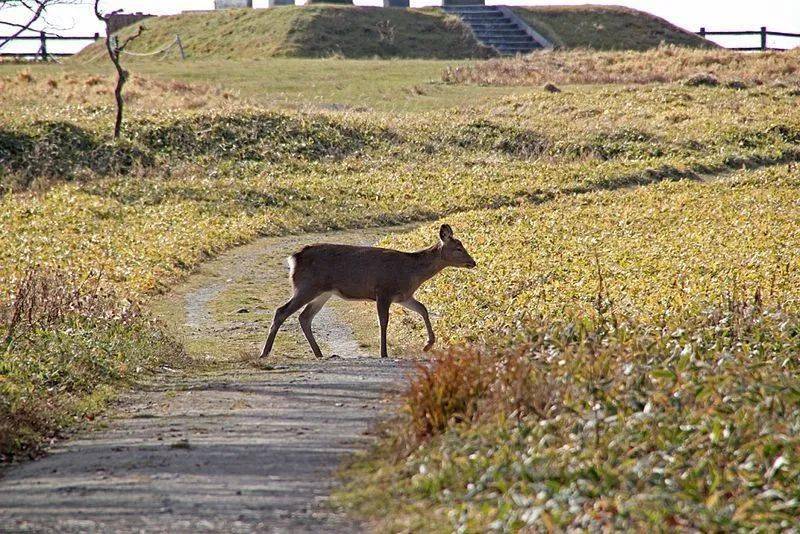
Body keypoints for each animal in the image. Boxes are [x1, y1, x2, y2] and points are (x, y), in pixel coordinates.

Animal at [260, 224, 476, 362]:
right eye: (458, 247)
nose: (473, 262)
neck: (411, 272)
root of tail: (293, 258)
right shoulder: (384, 290)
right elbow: (383, 321)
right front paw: (384, 352)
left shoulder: (403, 296)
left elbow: (423, 309)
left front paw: (428, 344)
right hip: (307, 286)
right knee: (282, 311)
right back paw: (265, 352)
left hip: (323, 292)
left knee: (304, 317)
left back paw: (319, 353)